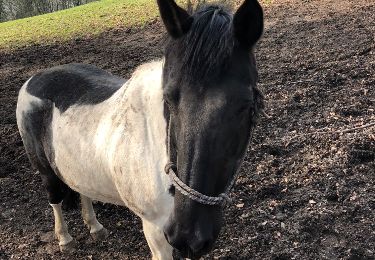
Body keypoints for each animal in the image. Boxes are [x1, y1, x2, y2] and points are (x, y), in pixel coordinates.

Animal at [16, 0, 264, 258]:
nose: (189, 234)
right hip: (45, 170)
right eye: (168, 98)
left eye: (247, 105)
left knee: (82, 189)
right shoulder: (156, 230)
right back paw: (65, 239)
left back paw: (95, 227)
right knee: (54, 197)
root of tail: (33, 79)